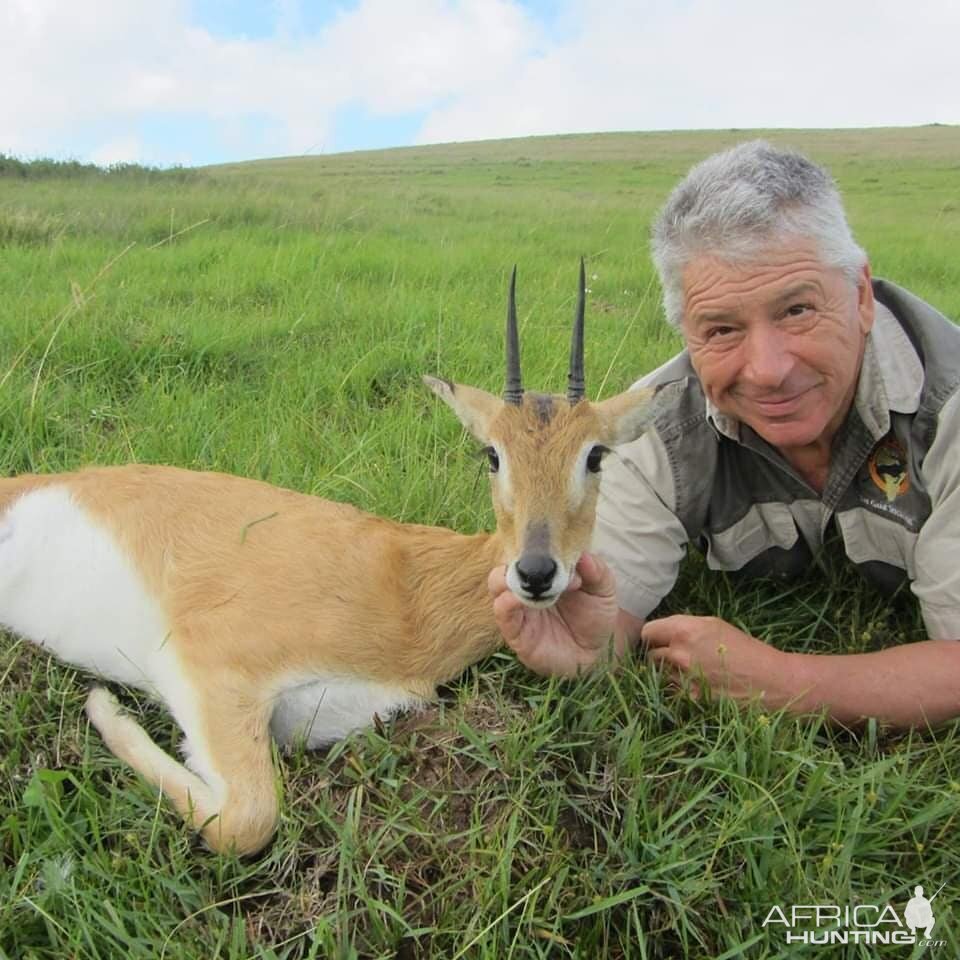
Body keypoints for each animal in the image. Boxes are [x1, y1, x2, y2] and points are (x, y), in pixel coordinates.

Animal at [0, 264, 652, 856]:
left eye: (595, 454)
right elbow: (248, 820)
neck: (405, 590)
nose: (536, 572)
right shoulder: (208, 665)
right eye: (492, 453)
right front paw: (102, 703)